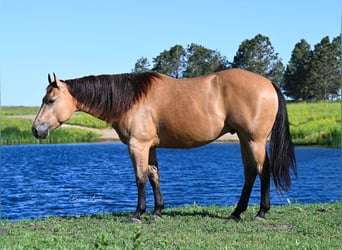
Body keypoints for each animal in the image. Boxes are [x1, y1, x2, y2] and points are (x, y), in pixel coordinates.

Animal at [32, 68, 296, 223]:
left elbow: (140, 177)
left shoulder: (137, 146)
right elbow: (154, 175)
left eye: (50, 100)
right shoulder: (150, 147)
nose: (36, 129)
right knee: (250, 173)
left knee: (263, 171)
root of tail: (269, 83)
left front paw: (138, 214)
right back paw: (236, 212)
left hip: (254, 140)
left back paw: (261, 212)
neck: (132, 99)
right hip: (243, 139)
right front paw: (158, 211)